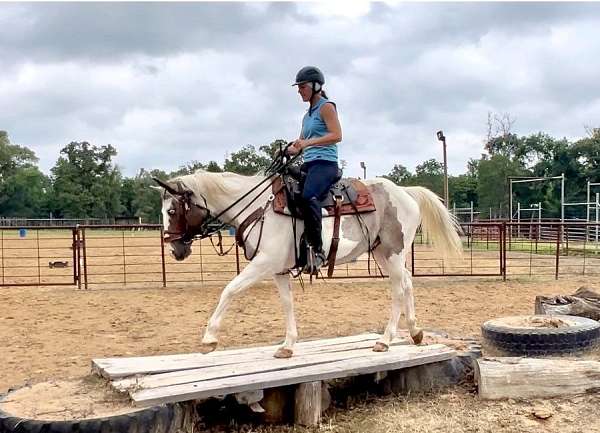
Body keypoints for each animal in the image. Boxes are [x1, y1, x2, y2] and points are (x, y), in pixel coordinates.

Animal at [156, 170, 464, 356]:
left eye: (172, 210)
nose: (174, 249)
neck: (258, 208)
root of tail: (405, 192)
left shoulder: (264, 263)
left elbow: (229, 290)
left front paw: (209, 338)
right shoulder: (278, 269)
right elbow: (287, 303)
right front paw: (288, 345)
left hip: (392, 252)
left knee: (398, 291)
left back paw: (384, 340)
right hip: (383, 253)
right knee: (408, 284)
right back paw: (415, 331)